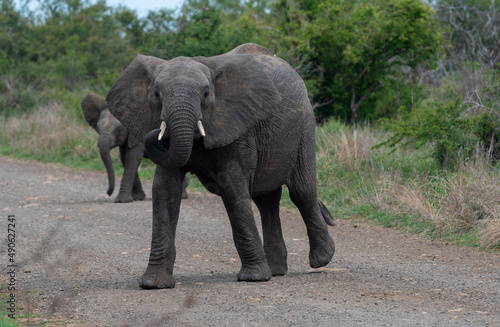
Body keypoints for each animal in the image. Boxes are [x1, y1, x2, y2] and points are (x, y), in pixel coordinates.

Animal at [107, 41, 336, 290]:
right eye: (157, 94)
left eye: (206, 93)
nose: (155, 132)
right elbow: (165, 190)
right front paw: (153, 284)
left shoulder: (238, 125)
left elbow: (232, 186)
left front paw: (253, 278)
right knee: (266, 201)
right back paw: (276, 270)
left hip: (304, 126)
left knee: (302, 191)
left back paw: (321, 259)